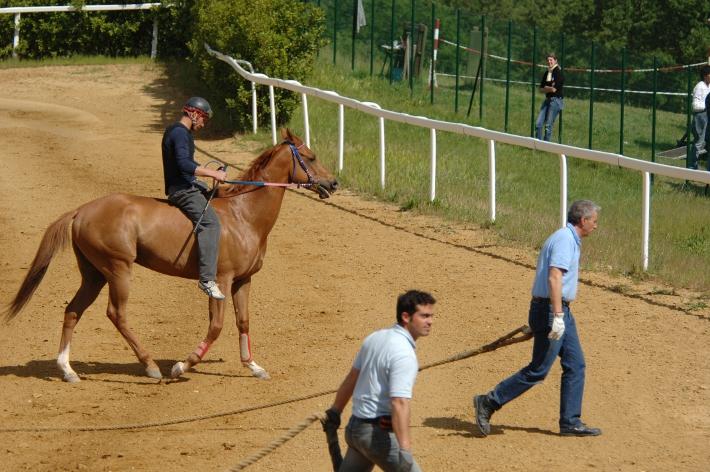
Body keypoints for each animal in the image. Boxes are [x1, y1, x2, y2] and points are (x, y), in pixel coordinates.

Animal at [1, 129, 340, 384]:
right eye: (311, 157)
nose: (333, 182)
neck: (243, 214)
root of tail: (81, 210)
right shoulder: (221, 280)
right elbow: (216, 327)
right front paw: (182, 365)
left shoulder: (243, 280)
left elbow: (243, 321)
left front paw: (254, 367)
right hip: (118, 270)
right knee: (116, 314)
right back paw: (151, 366)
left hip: (94, 275)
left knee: (73, 311)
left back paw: (67, 370)